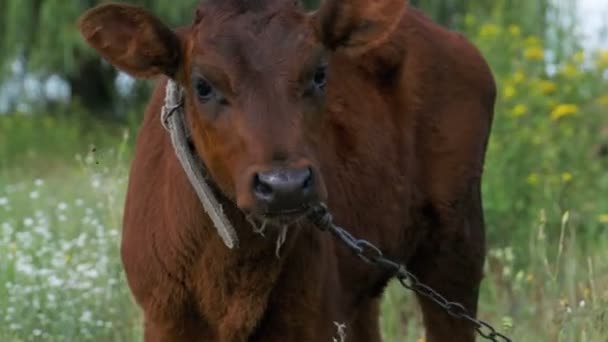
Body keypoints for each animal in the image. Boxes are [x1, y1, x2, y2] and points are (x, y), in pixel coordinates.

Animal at [78, 1, 494, 340]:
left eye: (320, 74)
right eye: (203, 85)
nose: (285, 185)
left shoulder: (310, 318)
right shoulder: (165, 320)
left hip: (457, 244)